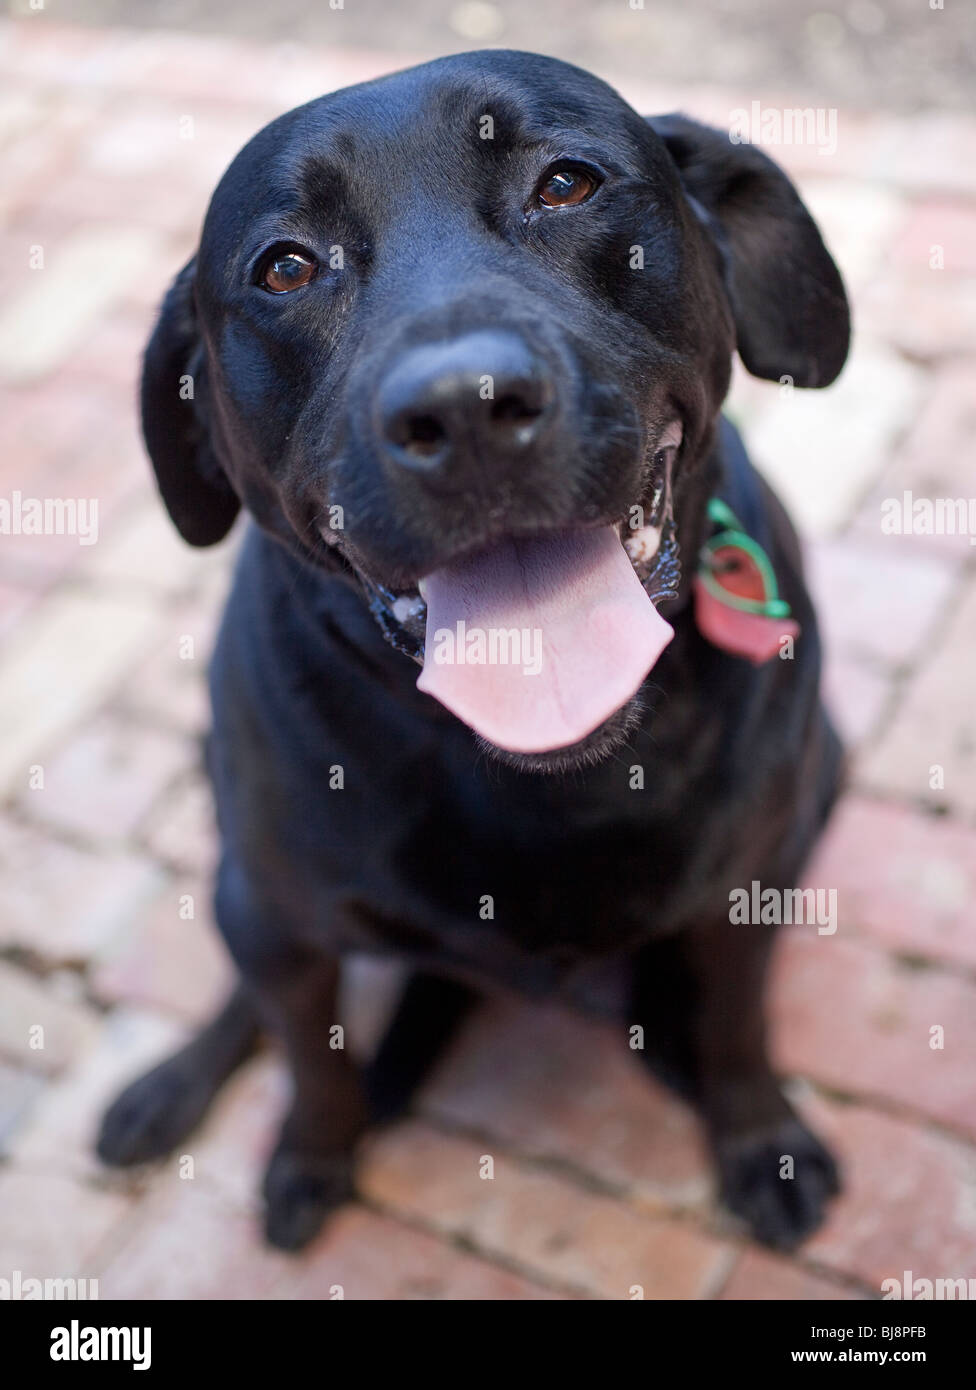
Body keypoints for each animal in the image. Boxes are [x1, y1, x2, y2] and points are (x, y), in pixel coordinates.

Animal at [95, 51, 850, 1262]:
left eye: (566, 184)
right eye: (285, 266)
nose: (466, 408)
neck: (541, 774)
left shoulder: (754, 880)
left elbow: (741, 1027)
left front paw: (760, 1139)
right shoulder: (281, 918)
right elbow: (308, 1055)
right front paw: (312, 1153)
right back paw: (170, 1087)